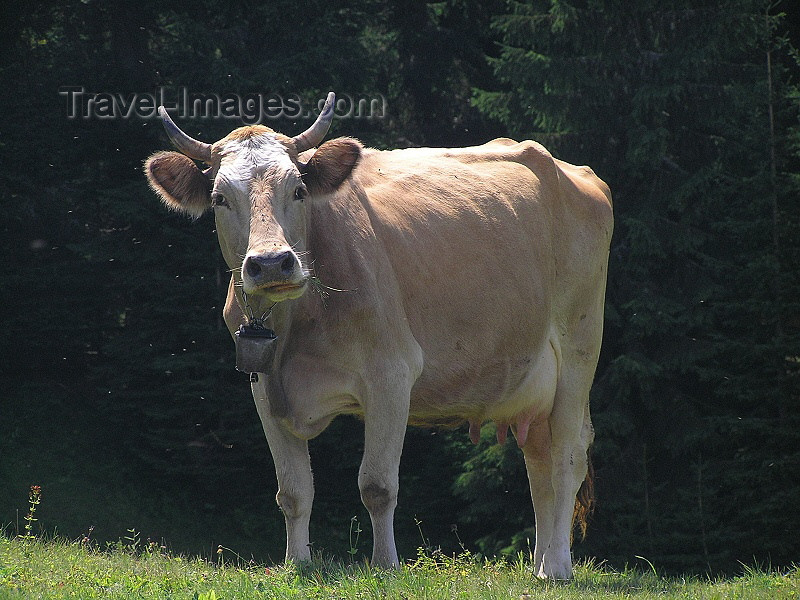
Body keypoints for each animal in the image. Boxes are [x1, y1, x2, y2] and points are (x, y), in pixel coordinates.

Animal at [147, 91, 612, 580]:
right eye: (219, 198)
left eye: (299, 190)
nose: (272, 262)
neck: (298, 325)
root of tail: (572, 170)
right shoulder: (263, 385)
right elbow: (293, 491)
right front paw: (297, 563)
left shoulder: (391, 374)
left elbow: (377, 485)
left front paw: (385, 565)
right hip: (533, 385)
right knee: (540, 462)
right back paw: (540, 563)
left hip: (579, 353)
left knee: (565, 456)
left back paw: (557, 567)